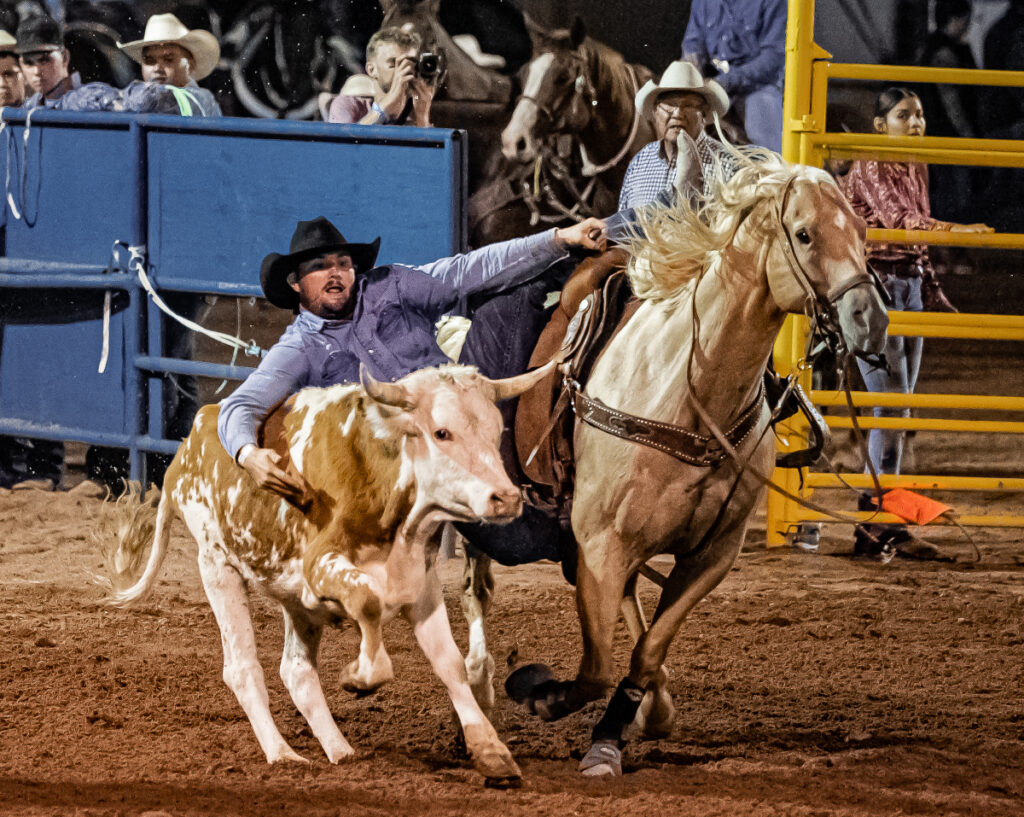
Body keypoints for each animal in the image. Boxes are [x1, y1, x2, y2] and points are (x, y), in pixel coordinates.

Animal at [468, 151, 884, 782]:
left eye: (862, 231)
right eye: (805, 233)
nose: (869, 321)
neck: (691, 392)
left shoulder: (710, 554)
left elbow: (646, 651)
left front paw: (617, 732)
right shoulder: (600, 544)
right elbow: (595, 665)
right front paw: (539, 692)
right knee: (475, 586)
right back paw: (476, 682)